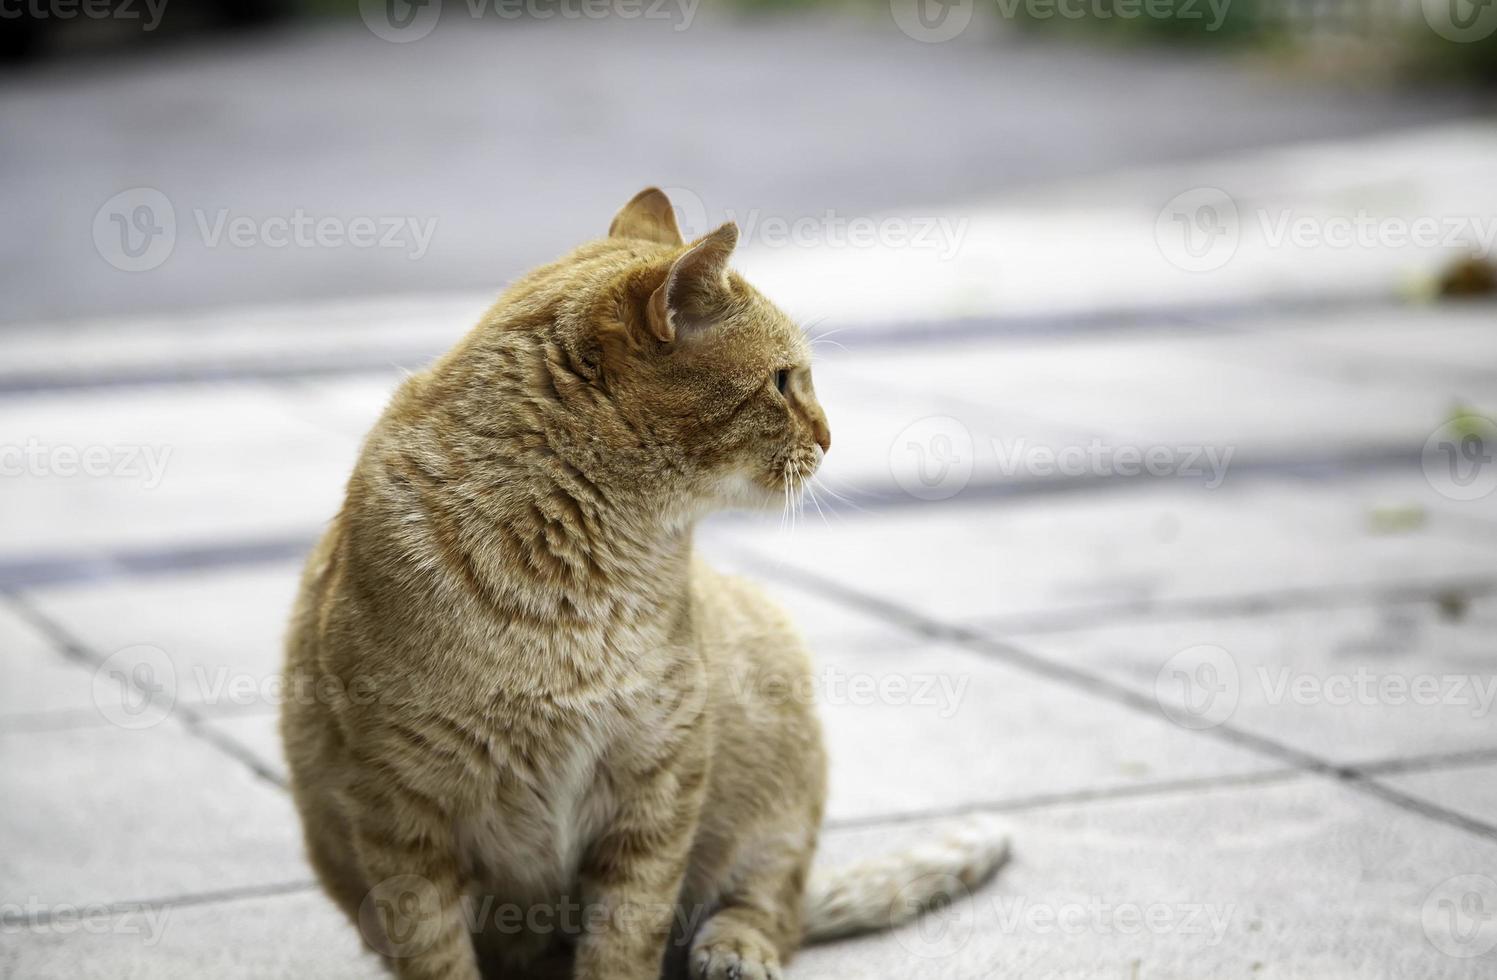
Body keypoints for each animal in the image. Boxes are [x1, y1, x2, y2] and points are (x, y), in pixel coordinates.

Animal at [281, 190, 1005, 980]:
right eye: (784, 381)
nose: (828, 437)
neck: (579, 569)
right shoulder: (400, 812)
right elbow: (437, 953)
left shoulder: (658, 779)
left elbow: (627, 934)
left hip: (776, 744)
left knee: (773, 904)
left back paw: (734, 950)